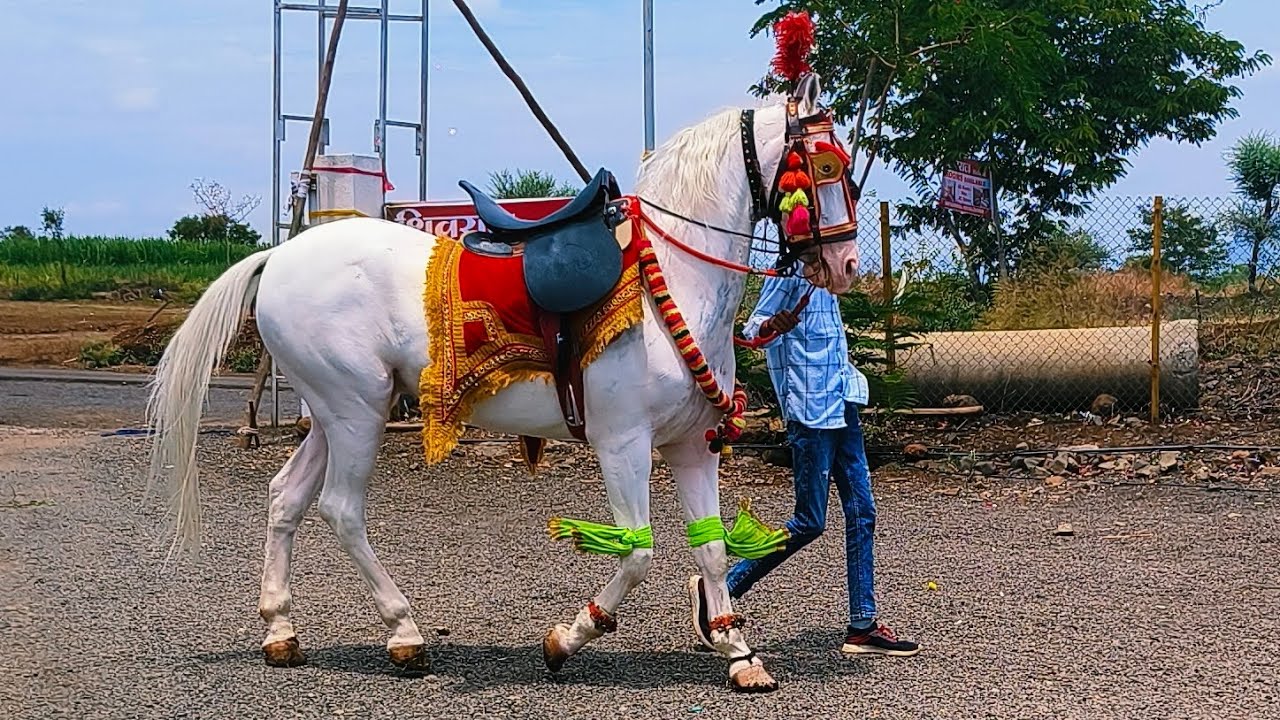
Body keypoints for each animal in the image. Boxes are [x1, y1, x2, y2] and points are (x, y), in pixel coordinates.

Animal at [144, 72, 862, 693]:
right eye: (827, 166)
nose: (848, 263)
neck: (672, 280)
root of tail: (279, 254)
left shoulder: (690, 447)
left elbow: (710, 550)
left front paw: (738, 653)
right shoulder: (622, 444)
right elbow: (638, 554)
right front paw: (568, 638)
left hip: (336, 411)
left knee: (286, 498)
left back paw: (281, 631)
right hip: (356, 412)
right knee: (341, 509)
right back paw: (405, 634)